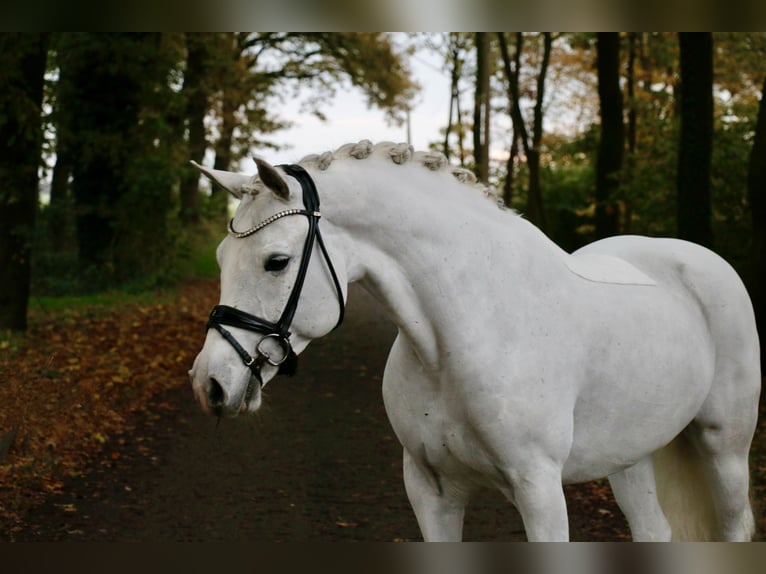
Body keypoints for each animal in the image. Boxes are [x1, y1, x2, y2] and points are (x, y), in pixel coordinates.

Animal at [190, 141, 760, 544]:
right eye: (218, 258)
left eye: (276, 261)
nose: (210, 383)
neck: (461, 337)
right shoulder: (431, 491)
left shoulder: (540, 491)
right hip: (631, 458)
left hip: (724, 448)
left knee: (735, 526)